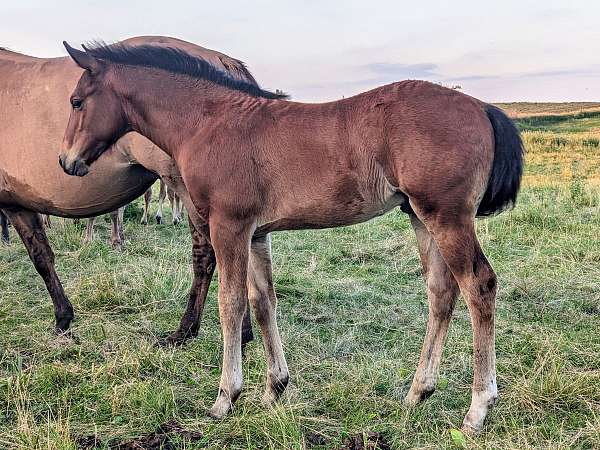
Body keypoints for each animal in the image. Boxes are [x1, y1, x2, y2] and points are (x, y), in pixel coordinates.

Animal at [0, 37, 254, 346]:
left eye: (76, 103)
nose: (65, 161)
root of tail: (222, 60)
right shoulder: (18, 204)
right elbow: (43, 256)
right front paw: (63, 317)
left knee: (207, 255)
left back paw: (186, 330)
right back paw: (244, 332)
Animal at [58, 43, 524, 432]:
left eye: (77, 101)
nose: (67, 162)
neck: (209, 123)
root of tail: (482, 106)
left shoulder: (229, 227)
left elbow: (231, 304)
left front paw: (225, 397)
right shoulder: (256, 233)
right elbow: (263, 303)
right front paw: (273, 389)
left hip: (447, 217)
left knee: (478, 286)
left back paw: (478, 409)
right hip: (420, 217)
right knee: (441, 291)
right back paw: (417, 393)